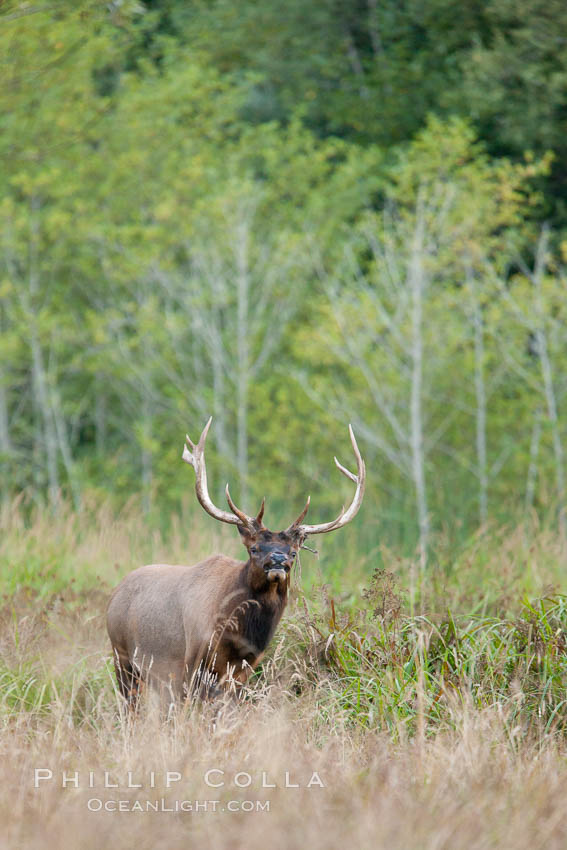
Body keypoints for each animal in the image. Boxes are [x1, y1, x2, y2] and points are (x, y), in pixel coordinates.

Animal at [106, 418, 366, 704]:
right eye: (254, 548)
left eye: (293, 552)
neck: (239, 634)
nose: (277, 560)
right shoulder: (191, 660)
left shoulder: (245, 669)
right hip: (123, 656)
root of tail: (114, 594)